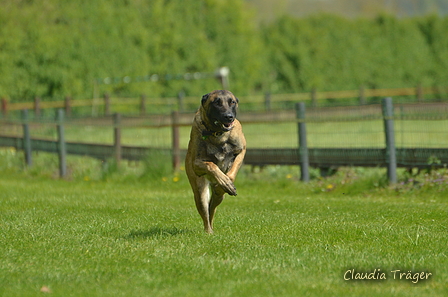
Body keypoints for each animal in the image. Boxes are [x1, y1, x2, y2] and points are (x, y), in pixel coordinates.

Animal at [186, 89, 248, 232]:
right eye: (216, 103)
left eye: (232, 102)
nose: (229, 117)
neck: (218, 134)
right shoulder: (196, 164)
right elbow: (211, 165)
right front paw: (224, 181)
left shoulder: (241, 151)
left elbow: (232, 172)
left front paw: (227, 183)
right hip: (200, 193)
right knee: (206, 213)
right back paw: (208, 232)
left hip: (218, 198)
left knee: (212, 209)